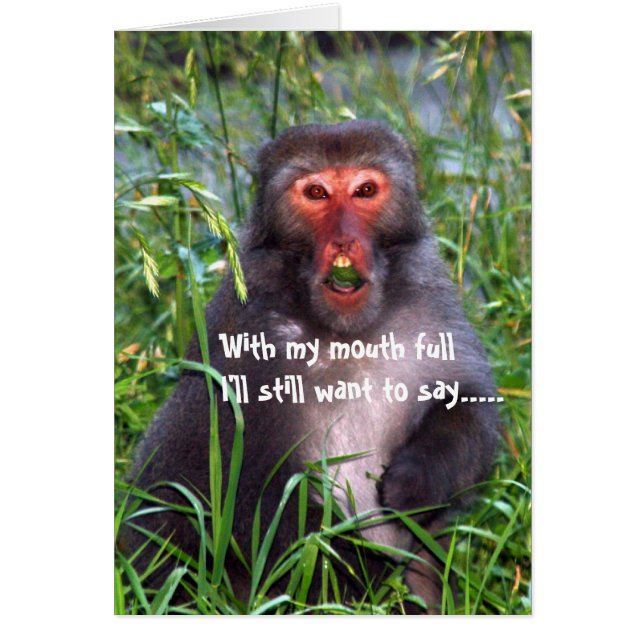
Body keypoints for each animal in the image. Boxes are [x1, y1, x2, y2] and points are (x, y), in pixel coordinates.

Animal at [120, 120, 499, 613]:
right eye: (317, 193)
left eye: (364, 190)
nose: (343, 239)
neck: (343, 334)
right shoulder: (243, 347)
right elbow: (226, 491)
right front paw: (364, 569)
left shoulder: (431, 310)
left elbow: (467, 409)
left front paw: (416, 483)